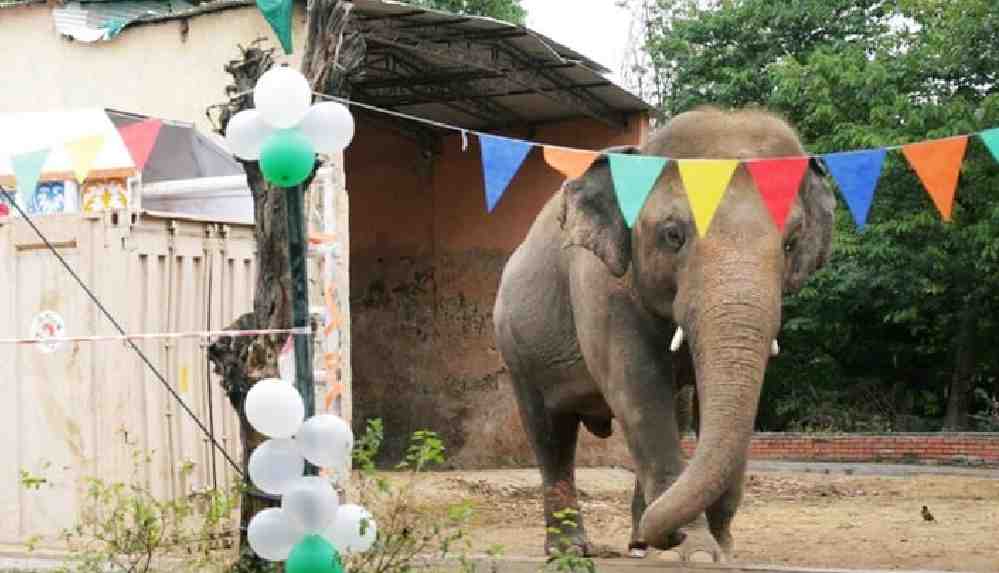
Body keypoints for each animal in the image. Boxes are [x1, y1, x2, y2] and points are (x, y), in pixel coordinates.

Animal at [492, 105, 836, 560]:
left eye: (791, 243)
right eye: (673, 235)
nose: (666, 536)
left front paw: (714, 547)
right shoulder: (597, 283)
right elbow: (637, 387)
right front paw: (696, 552)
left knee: (673, 408)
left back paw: (636, 542)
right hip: (515, 347)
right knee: (550, 431)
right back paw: (571, 551)